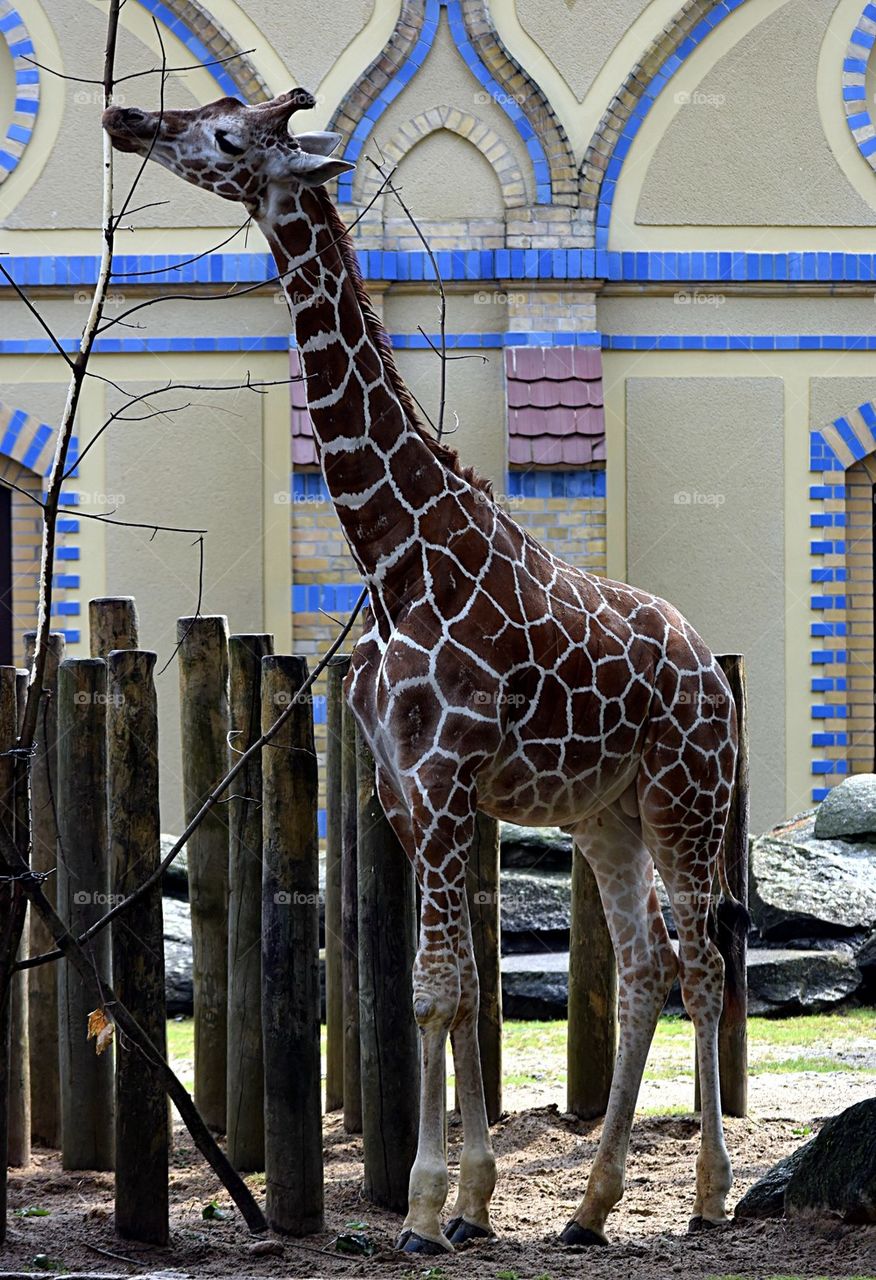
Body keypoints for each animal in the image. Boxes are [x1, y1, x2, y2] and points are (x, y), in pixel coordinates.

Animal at [103, 90, 742, 1254]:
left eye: (228, 136)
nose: (127, 115)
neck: (397, 557)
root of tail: (711, 673)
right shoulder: (404, 791)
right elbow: (450, 986)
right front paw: (477, 1198)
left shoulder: (444, 778)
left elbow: (441, 987)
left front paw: (428, 1205)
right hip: (607, 810)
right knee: (644, 966)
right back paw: (590, 1205)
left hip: (687, 793)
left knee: (705, 961)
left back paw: (709, 1193)